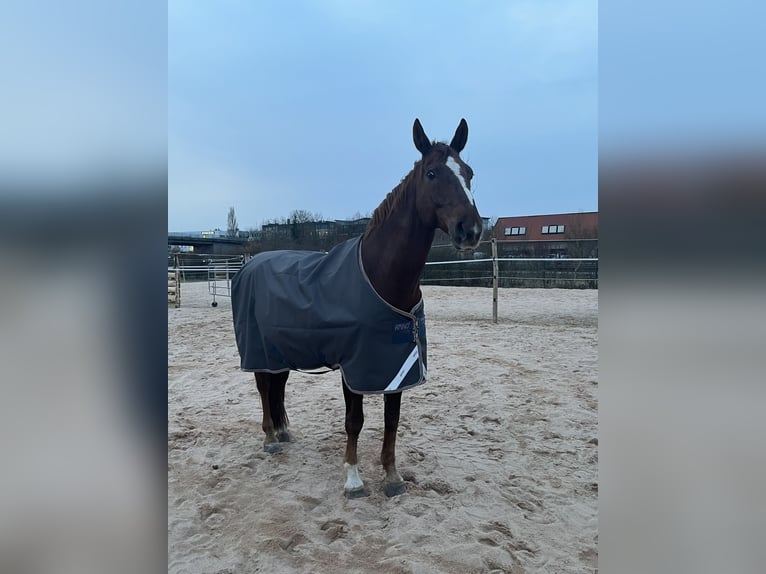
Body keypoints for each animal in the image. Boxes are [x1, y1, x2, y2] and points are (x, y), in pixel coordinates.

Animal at [231, 118, 482, 498]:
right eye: (432, 173)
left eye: (468, 172)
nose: (471, 230)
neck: (382, 277)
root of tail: (250, 263)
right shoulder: (354, 366)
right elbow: (355, 421)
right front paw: (353, 478)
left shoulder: (397, 365)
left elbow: (392, 421)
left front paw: (392, 477)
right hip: (258, 348)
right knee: (263, 387)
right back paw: (270, 438)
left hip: (281, 350)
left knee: (278, 386)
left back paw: (284, 432)